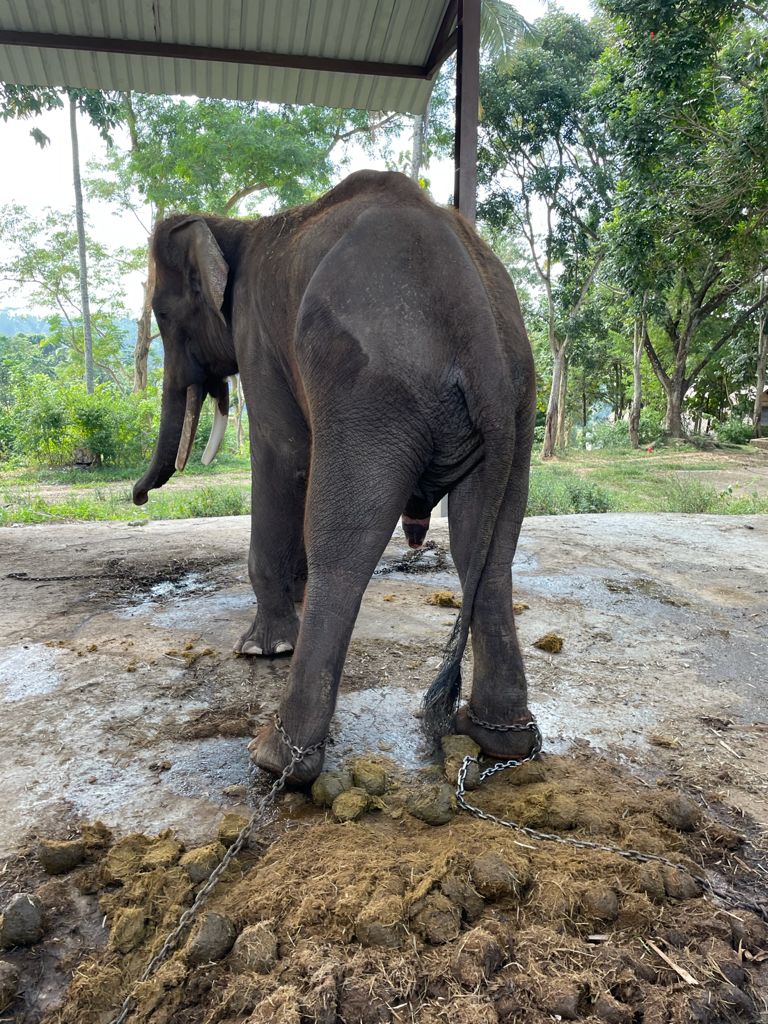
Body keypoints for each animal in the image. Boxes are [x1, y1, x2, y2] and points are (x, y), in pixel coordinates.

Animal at [133, 170, 537, 783]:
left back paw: (277, 760)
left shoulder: (257, 335)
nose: (136, 498)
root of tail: (479, 330)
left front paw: (262, 648)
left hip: (371, 392)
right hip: (516, 404)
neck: (233, 226)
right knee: (486, 551)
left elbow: (283, 453)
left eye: (161, 313)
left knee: (345, 550)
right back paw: (501, 738)